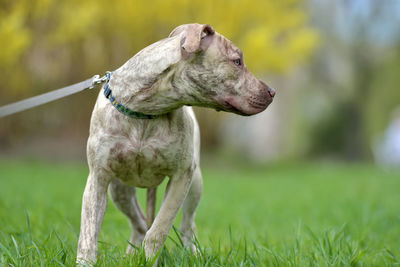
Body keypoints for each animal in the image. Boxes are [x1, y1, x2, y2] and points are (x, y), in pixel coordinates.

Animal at [76, 23, 276, 266]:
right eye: (237, 61)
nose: (272, 92)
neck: (146, 113)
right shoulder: (98, 179)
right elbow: (88, 232)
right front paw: (85, 261)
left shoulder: (182, 176)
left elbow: (159, 228)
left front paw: (151, 258)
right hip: (118, 189)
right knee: (138, 222)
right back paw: (132, 253)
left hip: (195, 185)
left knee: (187, 225)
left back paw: (191, 252)